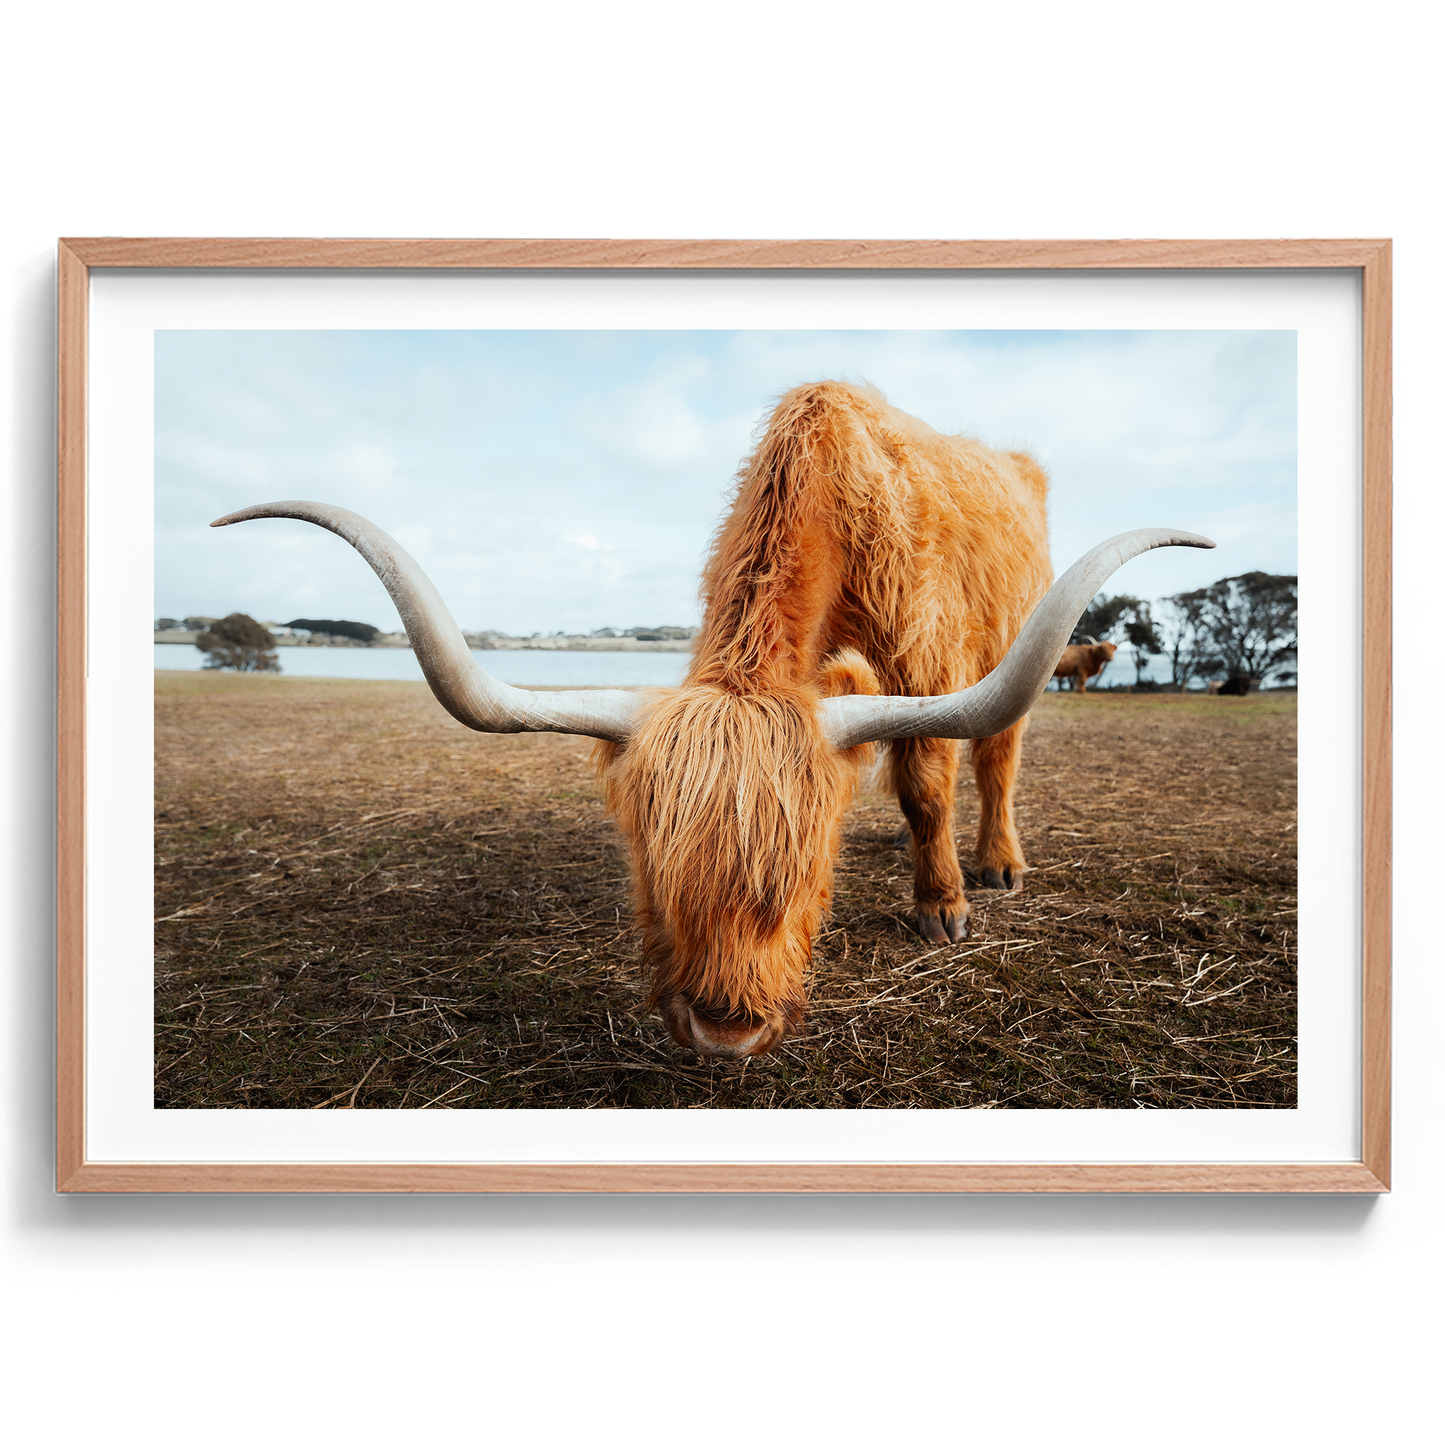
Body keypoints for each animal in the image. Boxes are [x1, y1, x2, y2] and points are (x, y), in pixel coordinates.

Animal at [213, 381, 1213, 1058]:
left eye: (808, 881)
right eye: (651, 874)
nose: (725, 1032)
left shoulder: (924, 665)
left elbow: (927, 783)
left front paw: (941, 907)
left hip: (1012, 646)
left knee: (997, 755)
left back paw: (997, 864)